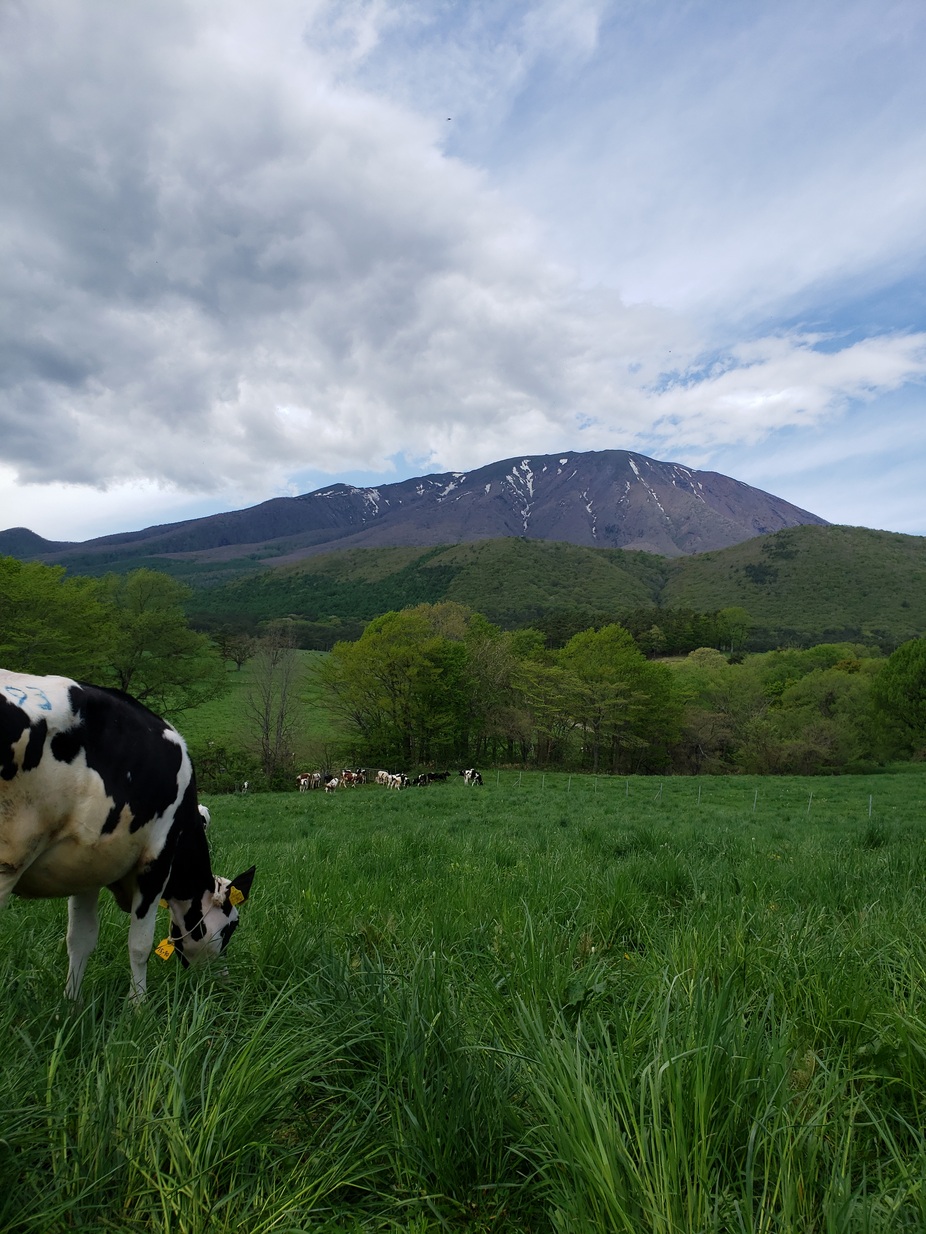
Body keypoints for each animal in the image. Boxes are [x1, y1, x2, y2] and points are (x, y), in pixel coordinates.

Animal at [0, 676, 255, 1002]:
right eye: (231, 927)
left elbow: (79, 941)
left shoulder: (87, 866)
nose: (222, 981)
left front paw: (71, 1004)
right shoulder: (156, 863)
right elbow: (140, 945)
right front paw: (139, 1006)